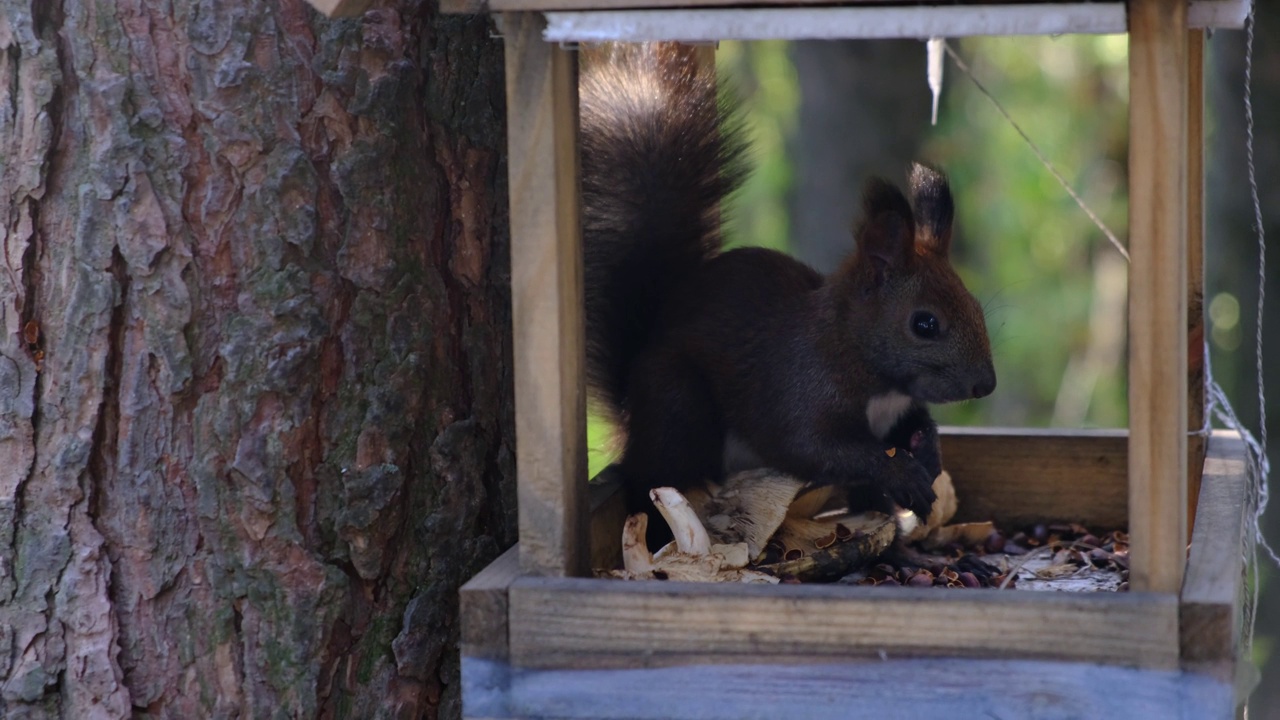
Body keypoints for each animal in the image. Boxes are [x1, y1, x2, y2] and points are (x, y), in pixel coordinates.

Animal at [583, 43, 998, 543]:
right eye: (925, 324)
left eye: (976, 306)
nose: (985, 384)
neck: (855, 355)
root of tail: (631, 404)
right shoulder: (797, 391)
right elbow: (813, 448)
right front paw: (902, 472)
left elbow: (911, 427)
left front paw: (927, 450)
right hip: (678, 406)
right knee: (653, 477)